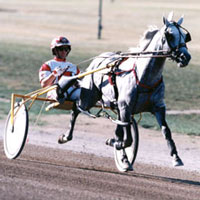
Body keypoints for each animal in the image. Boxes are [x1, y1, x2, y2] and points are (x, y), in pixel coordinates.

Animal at [57, 13, 191, 171]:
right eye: (169, 35)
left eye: (185, 36)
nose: (185, 57)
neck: (143, 76)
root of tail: (97, 60)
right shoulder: (125, 108)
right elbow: (127, 140)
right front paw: (115, 144)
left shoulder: (158, 108)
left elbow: (166, 131)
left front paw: (176, 157)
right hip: (88, 98)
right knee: (76, 109)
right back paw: (65, 137)